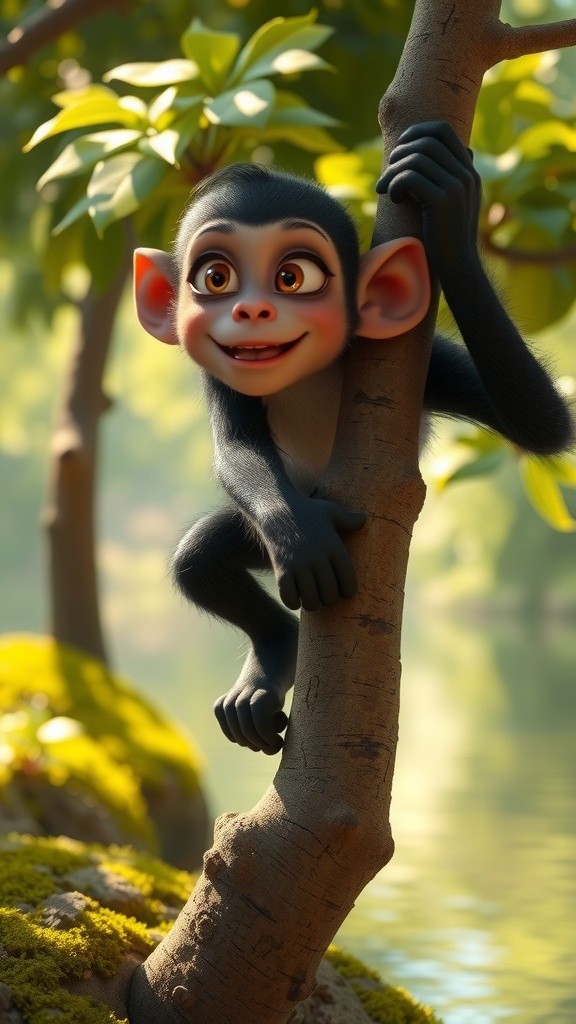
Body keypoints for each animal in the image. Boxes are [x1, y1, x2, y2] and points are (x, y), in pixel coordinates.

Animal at [134, 121, 573, 756]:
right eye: (214, 278)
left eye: (293, 276)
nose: (252, 312)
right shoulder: (224, 375)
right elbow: (237, 450)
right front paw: (300, 538)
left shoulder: (430, 370)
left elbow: (542, 423)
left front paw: (450, 219)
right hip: (270, 524)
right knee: (200, 559)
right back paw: (276, 648)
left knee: (200, 558)